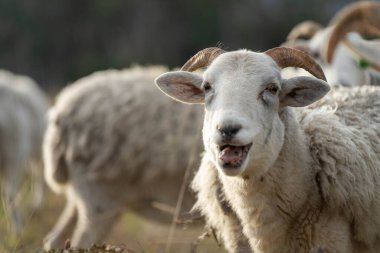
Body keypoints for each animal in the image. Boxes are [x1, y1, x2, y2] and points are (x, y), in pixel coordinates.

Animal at [0, 68, 49, 233]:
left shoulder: (15, 159)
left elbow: (10, 195)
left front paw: (17, 229)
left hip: (38, 151)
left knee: (40, 174)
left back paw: (37, 204)